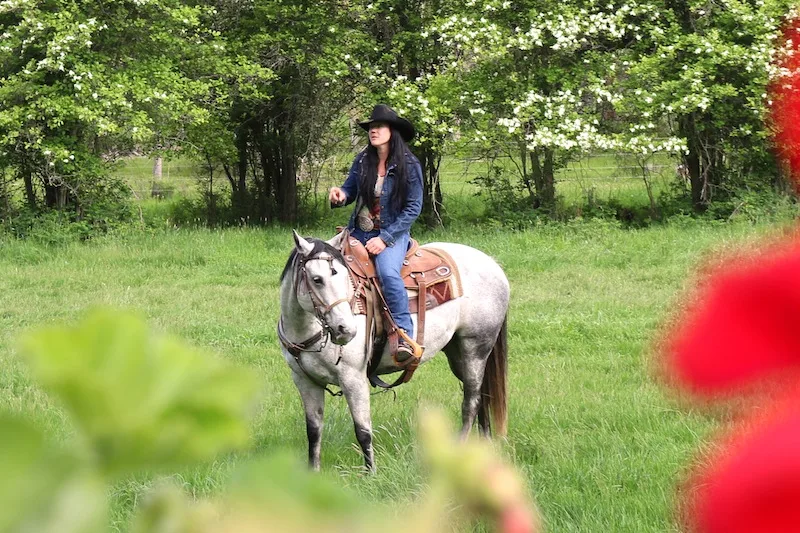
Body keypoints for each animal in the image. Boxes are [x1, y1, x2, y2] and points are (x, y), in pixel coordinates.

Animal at [278, 231, 510, 472]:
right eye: (317, 279)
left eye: (345, 278)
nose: (346, 329)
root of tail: (492, 263)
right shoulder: (305, 381)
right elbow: (314, 431)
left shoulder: (353, 379)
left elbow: (363, 430)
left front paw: (371, 473)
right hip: (458, 354)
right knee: (483, 396)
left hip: (476, 348)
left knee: (471, 402)